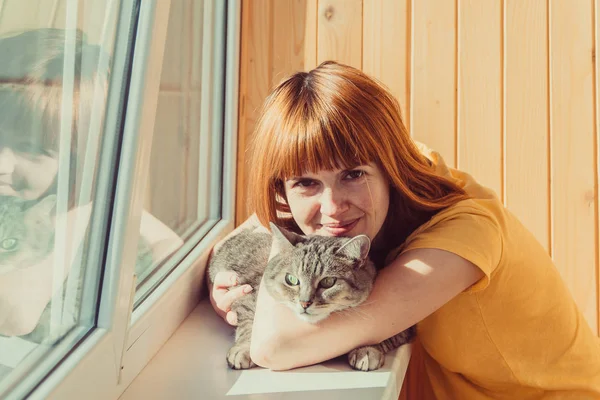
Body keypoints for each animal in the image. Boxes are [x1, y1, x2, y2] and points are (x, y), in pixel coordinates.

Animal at [207, 225, 412, 372]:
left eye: (328, 282)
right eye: (291, 279)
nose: (305, 302)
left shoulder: (404, 328)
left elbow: (382, 331)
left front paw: (368, 349)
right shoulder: (246, 294)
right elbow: (248, 323)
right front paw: (243, 349)